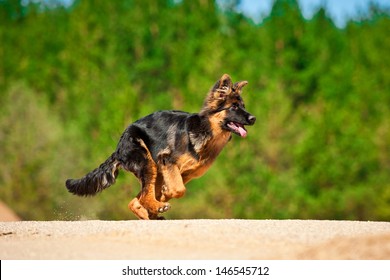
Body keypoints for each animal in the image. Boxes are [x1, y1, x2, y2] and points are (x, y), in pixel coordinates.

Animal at [66, 74, 256, 219]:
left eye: (243, 106)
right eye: (234, 107)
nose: (253, 118)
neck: (206, 131)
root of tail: (119, 146)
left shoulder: (185, 174)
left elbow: (176, 188)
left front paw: (164, 196)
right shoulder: (166, 160)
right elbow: (179, 189)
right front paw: (166, 195)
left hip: (154, 170)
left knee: (136, 200)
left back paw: (153, 213)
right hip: (148, 163)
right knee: (142, 197)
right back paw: (157, 208)